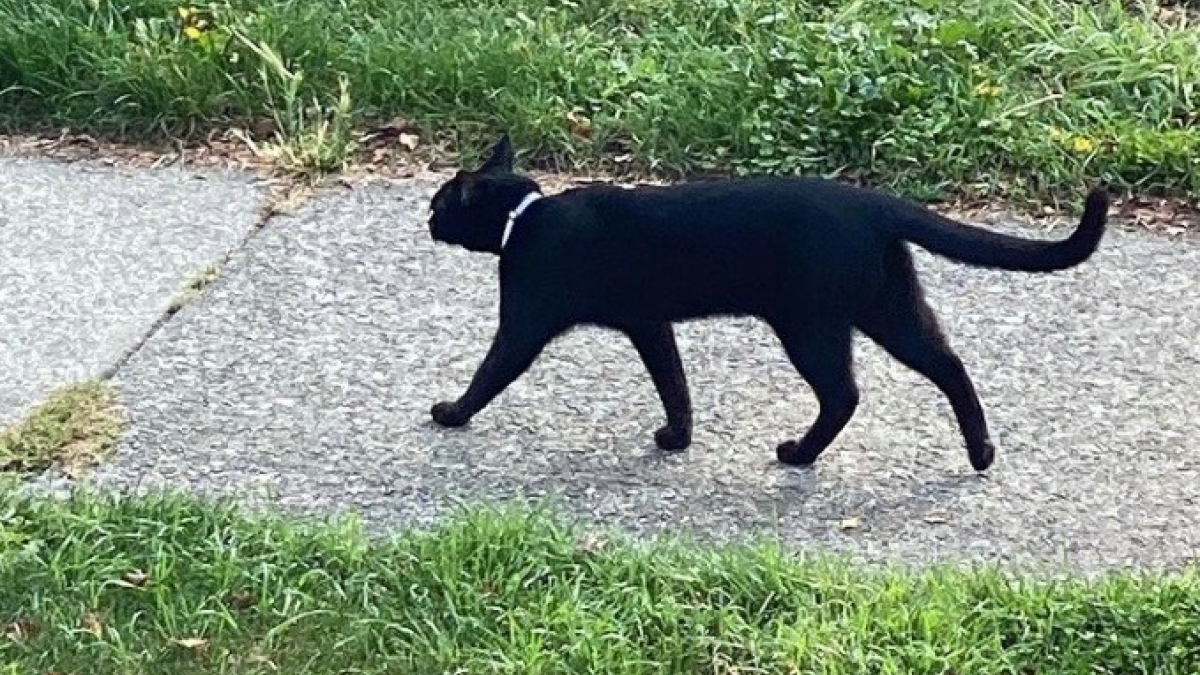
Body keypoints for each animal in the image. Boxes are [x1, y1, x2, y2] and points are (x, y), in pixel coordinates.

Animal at [427, 131, 1108, 468]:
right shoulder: (650, 323)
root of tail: (873, 202)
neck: (525, 217)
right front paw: (678, 437)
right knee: (949, 364)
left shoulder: (525, 321)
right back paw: (981, 453)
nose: (427, 218)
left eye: (439, 202)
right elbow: (674, 383)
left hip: (811, 324)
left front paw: (452, 413)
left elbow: (489, 372)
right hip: (887, 306)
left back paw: (799, 455)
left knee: (846, 393)